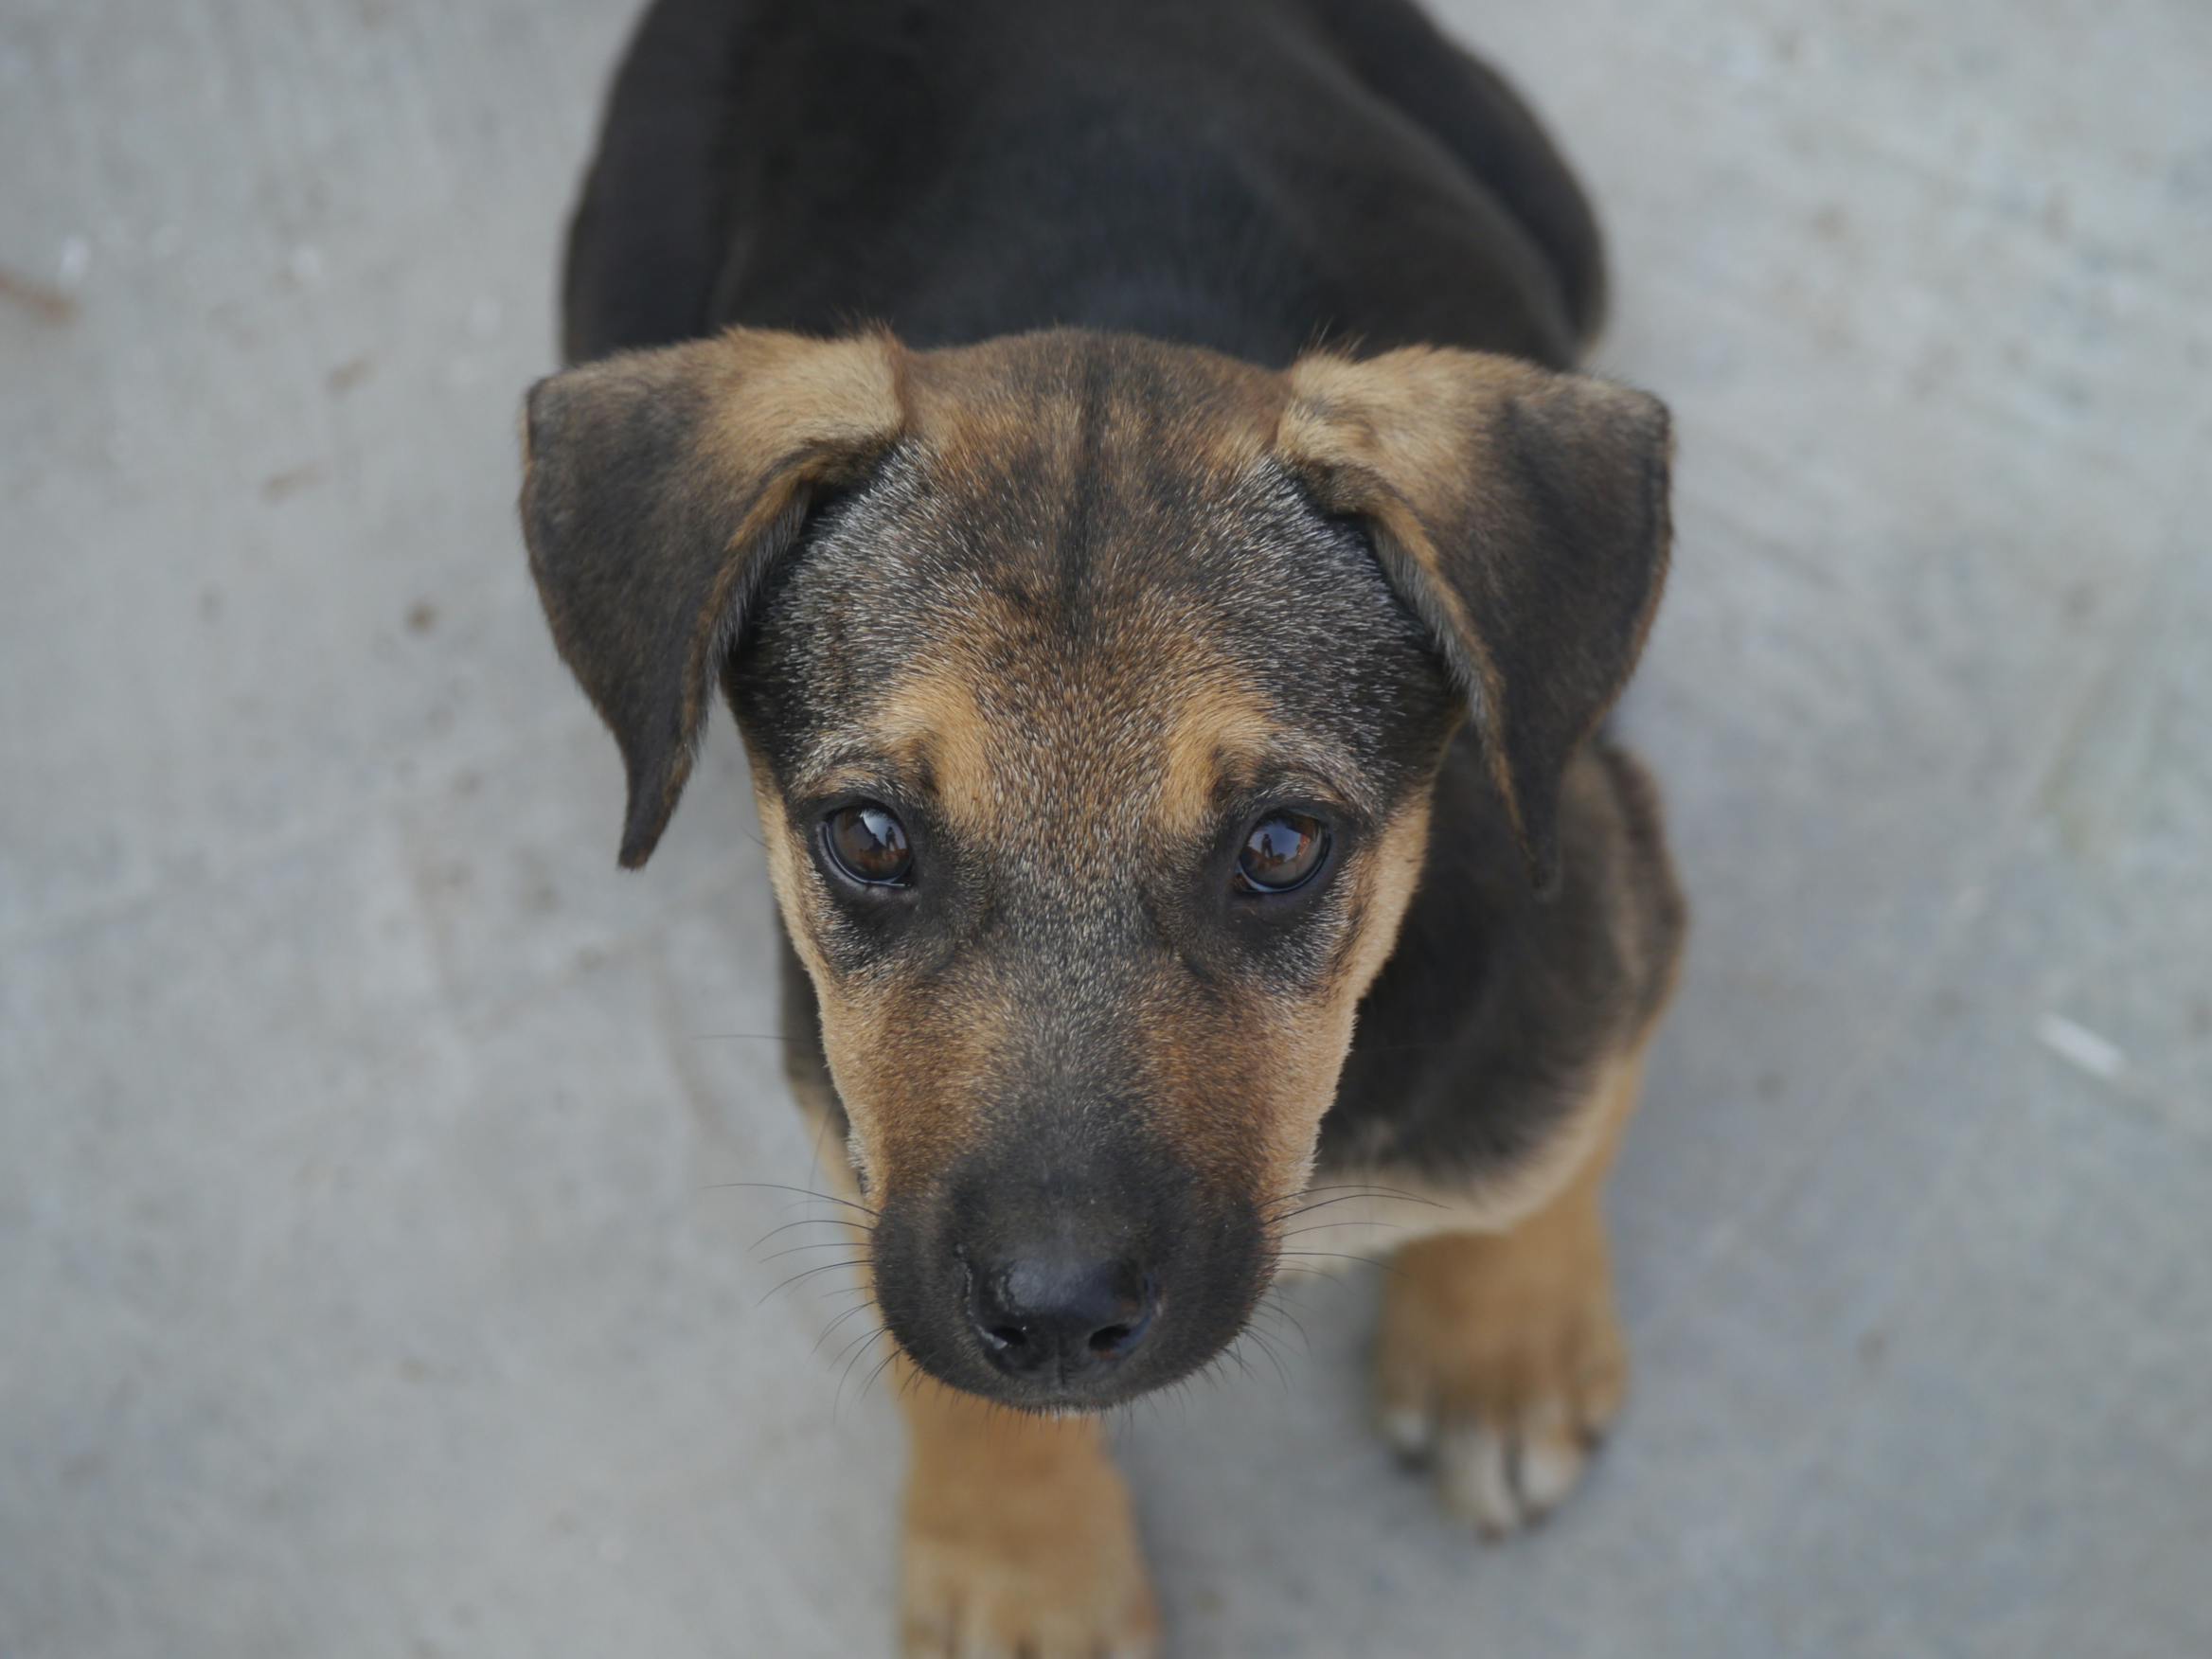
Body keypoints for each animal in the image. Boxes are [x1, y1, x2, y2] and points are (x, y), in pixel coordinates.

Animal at [522, 0, 1672, 1654]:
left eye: (1281, 847)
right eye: (869, 838)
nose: (1057, 1315)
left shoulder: (1598, 881)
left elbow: (1551, 1141)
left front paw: (1497, 1354)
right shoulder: (846, 1111)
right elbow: (929, 1352)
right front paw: (1023, 1564)